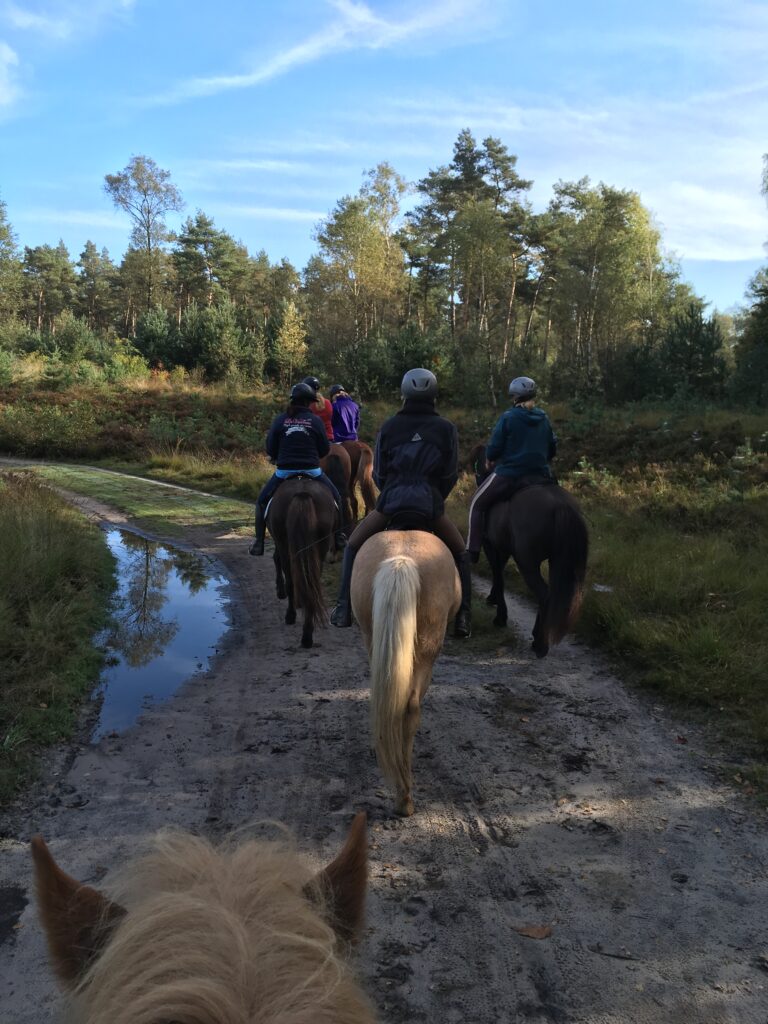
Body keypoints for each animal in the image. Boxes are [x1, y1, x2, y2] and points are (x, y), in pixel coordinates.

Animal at [266, 473, 335, 647]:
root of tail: (302, 493)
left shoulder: (280, 544)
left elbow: (277, 560)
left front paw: (281, 591)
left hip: (285, 544)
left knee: (290, 578)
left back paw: (291, 616)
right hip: (319, 547)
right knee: (312, 581)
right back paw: (307, 634)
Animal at [468, 444, 589, 659]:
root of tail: (560, 506)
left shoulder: (490, 545)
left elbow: (498, 575)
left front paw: (500, 616)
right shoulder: (503, 548)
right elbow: (499, 572)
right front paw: (493, 599)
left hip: (527, 563)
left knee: (544, 595)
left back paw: (540, 643)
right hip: (557, 562)